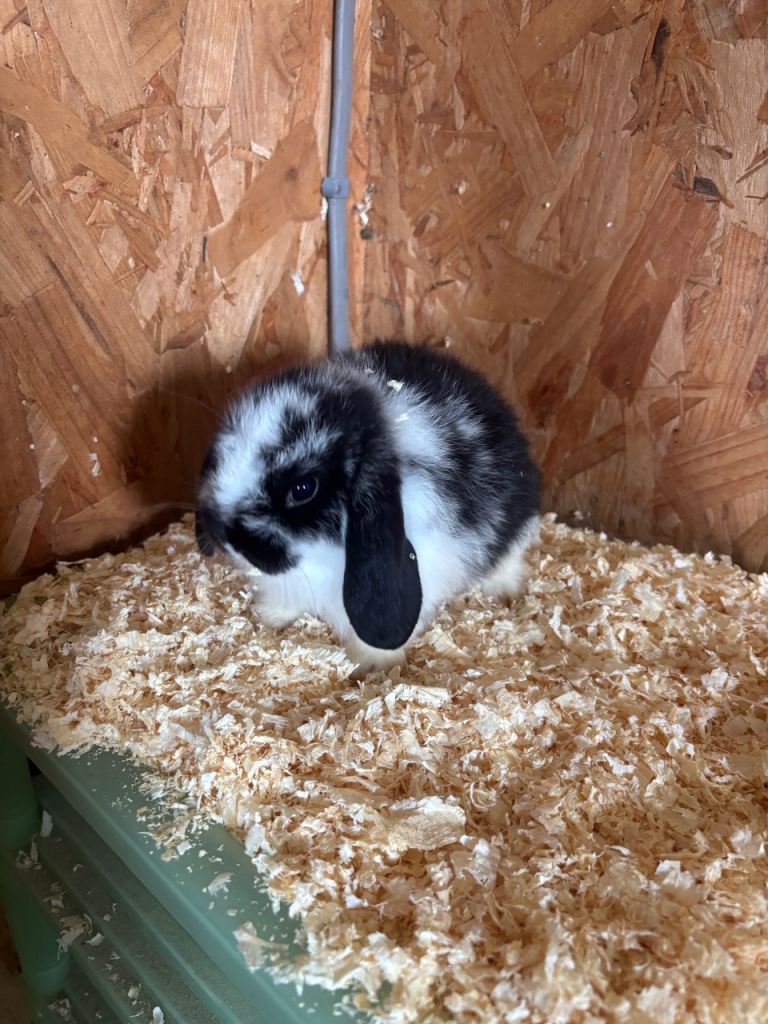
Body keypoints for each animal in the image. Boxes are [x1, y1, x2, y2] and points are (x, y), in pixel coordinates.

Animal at [195, 340, 540, 672]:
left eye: (303, 489)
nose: (226, 538)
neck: (319, 557)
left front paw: (373, 666)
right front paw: (271, 617)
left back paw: (505, 590)